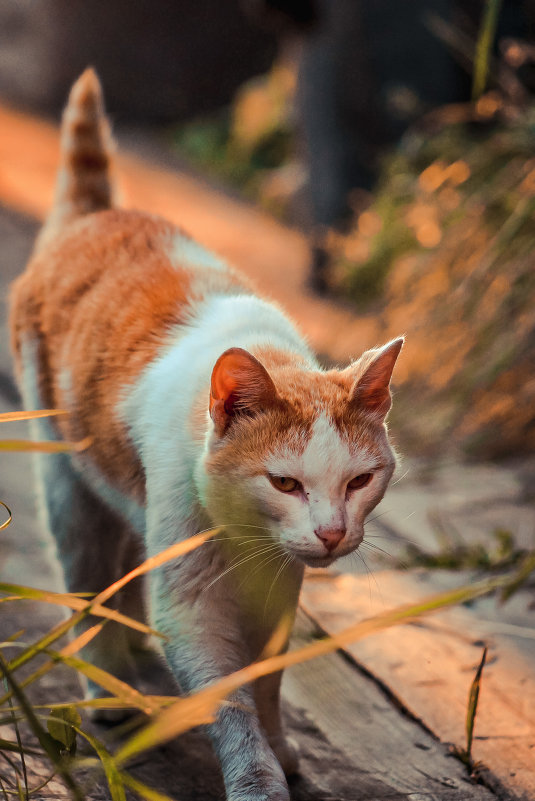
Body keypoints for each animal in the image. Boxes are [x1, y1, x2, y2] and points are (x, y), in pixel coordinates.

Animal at [9, 70, 402, 800]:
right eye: (284, 482)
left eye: (360, 480)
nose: (333, 532)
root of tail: (98, 216)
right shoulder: (191, 598)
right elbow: (229, 698)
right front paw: (257, 777)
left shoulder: (276, 587)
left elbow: (266, 679)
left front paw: (281, 746)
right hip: (66, 477)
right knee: (88, 572)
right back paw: (108, 679)